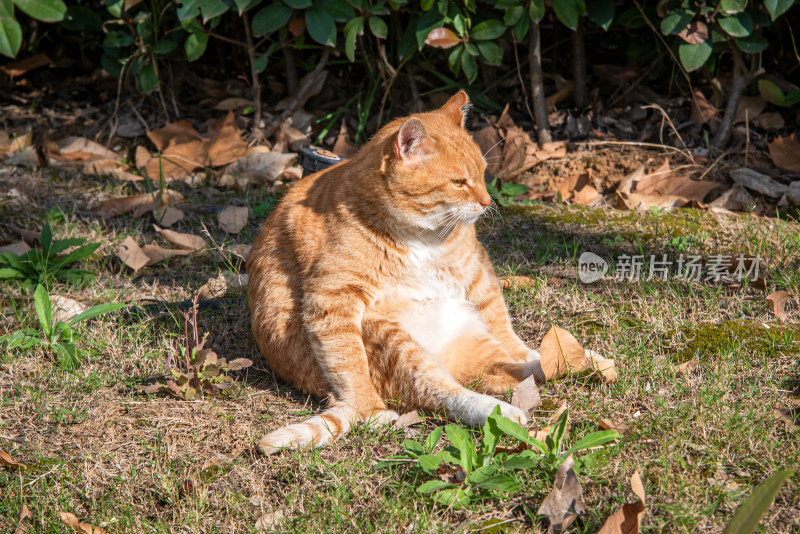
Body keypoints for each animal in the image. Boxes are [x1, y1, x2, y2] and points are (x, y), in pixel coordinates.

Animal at [250, 93, 556, 456]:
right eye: (459, 182)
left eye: (483, 175)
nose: (486, 202)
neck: (425, 237)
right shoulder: (331, 301)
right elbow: (349, 366)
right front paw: (370, 411)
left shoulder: (478, 274)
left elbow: (504, 328)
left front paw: (543, 353)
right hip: (390, 340)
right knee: (441, 389)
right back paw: (503, 413)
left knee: (513, 367)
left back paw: (570, 360)